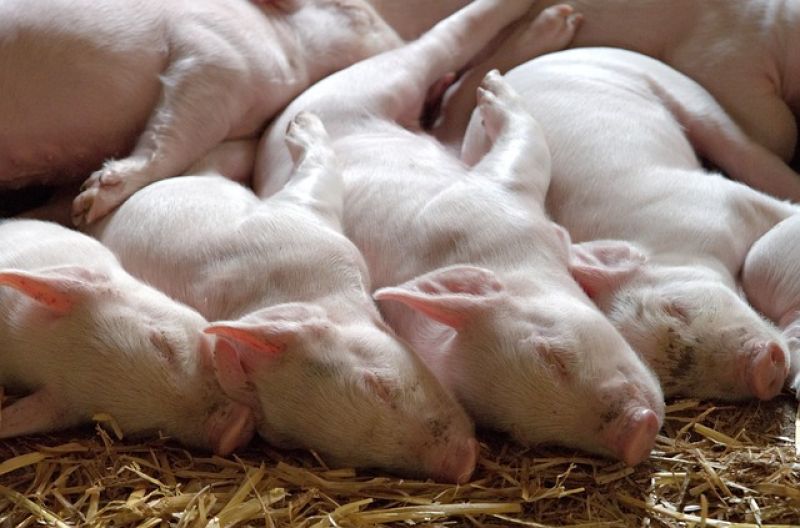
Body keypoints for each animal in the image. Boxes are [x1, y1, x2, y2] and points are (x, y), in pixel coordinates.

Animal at [0, 0, 402, 222]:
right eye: (355, 12)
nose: (403, 41)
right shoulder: (216, 57)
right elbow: (175, 131)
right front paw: (89, 202)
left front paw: (70, 207)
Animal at [253, 1, 666, 466]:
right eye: (518, 432)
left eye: (554, 355)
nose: (638, 435)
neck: (502, 255)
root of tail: (279, 126)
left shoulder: (490, 194)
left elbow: (526, 146)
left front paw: (498, 93)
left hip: (376, 86)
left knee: (439, 54)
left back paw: (543, 34)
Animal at [453, 47, 798, 400]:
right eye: (681, 387)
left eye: (676, 307)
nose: (763, 371)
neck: (676, 247)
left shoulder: (718, 202)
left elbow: (778, 208)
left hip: (682, 91)